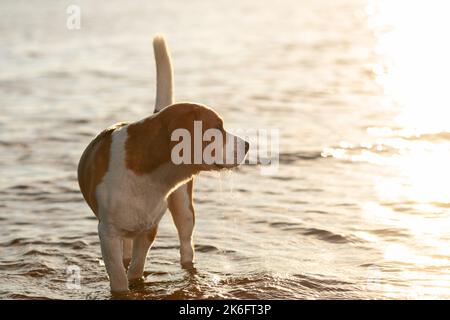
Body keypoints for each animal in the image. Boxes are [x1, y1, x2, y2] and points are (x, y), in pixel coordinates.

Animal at [77, 35, 250, 292]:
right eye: (217, 128)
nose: (248, 145)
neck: (150, 175)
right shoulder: (107, 232)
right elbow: (119, 276)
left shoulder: (149, 229)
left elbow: (136, 268)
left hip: (183, 208)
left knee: (186, 245)